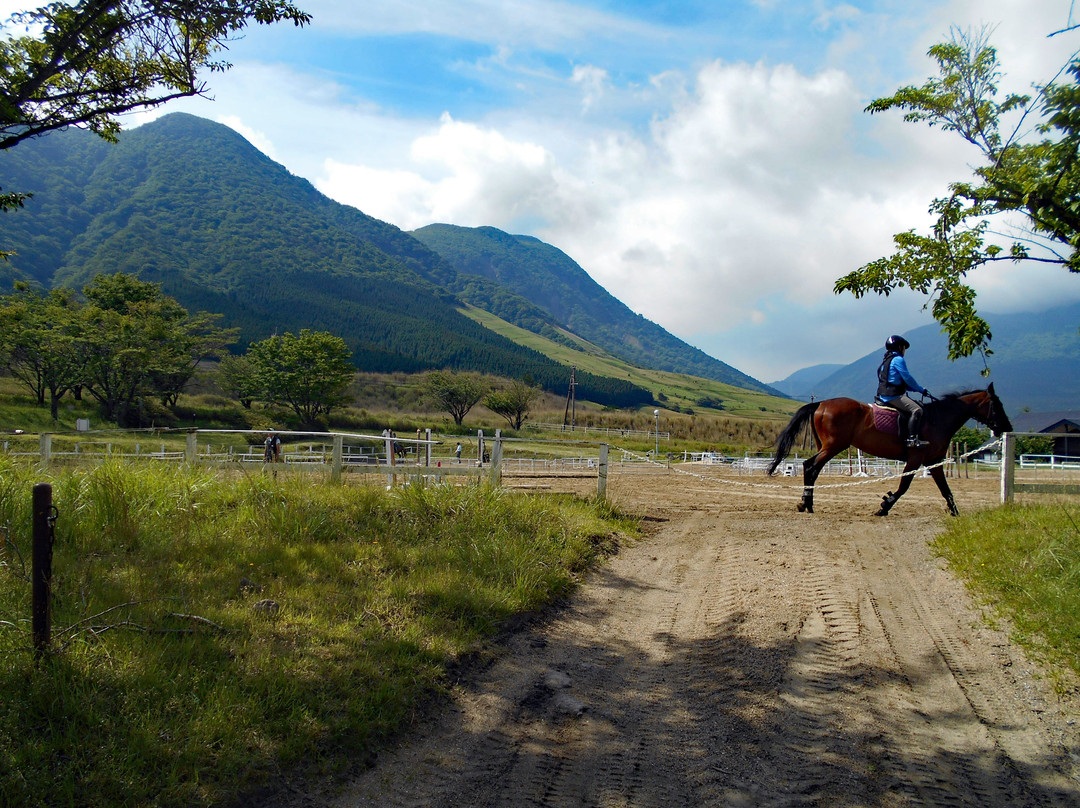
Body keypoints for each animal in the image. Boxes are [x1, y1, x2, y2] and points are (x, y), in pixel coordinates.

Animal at [768, 384, 1010, 518]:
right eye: (997, 405)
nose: (1007, 428)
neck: (938, 419)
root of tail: (820, 404)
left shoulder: (934, 462)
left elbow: (945, 490)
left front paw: (955, 512)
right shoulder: (915, 458)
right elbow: (904, 486)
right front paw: (884, 506)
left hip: (827, 446)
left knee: (812, 468)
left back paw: (806, 503)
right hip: (833, 446)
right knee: (810, 467)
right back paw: (807, 503)